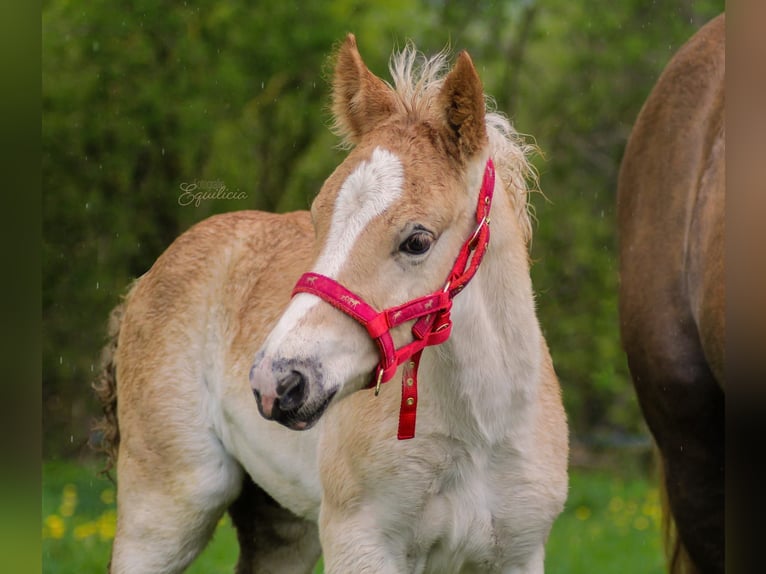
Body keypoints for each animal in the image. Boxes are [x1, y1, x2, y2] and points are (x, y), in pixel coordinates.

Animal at [93, 36, 568, 574]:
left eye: (417, 240)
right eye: (319, 219)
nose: (278, 381)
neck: (481, 430)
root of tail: (147, 278)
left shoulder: (518, 553)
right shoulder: (359, 543)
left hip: (280, 524)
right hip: (166, 512)